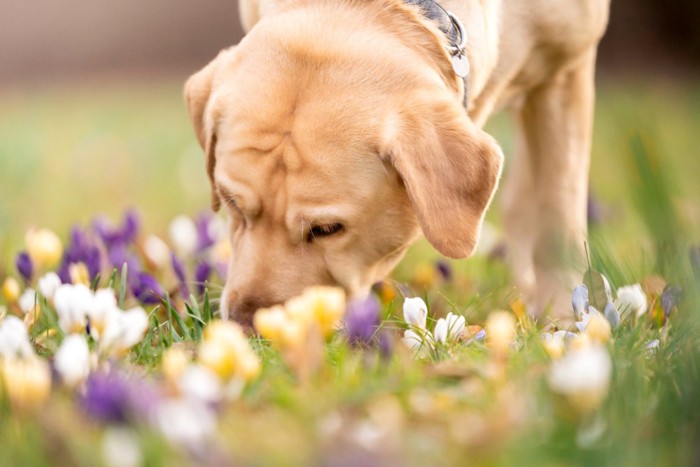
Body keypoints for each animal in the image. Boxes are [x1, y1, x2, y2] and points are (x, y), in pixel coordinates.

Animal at [186, 0, 612, 328]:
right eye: (231, 204)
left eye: (327, 230)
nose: (248, 326)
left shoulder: (567, 70)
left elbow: (557, 214)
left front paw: (563, 321)